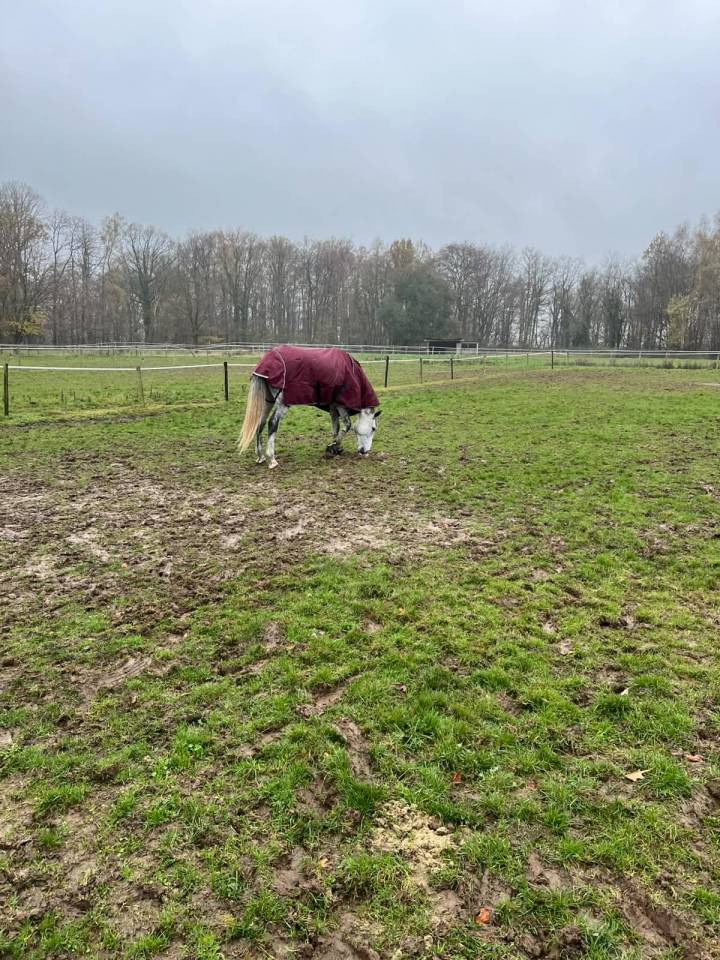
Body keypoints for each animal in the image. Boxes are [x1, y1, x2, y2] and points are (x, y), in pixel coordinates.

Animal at [238, 345, 382, 468]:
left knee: (260, 423)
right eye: (373, 428)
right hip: (282, 405)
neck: (351, 372)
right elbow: (347, 425)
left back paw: (260, 457)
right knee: (272, 423)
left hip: (268, 401)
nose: (365, 451)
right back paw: (272, 459)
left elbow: (336, 427)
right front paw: (334, 446)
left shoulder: (332, 406)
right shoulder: (341, 405)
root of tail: (267, 360)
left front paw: (334, 448)